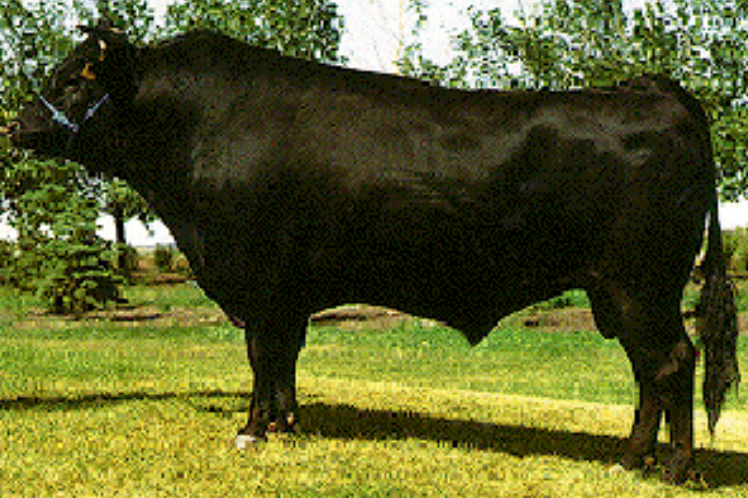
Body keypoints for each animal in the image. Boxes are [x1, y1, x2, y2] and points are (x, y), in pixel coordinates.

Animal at [4, 22, 739, 483]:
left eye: (74, 80)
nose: (18, 125)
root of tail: (646, 89)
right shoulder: (289, 290)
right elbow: (285, 360)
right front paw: (287, 425)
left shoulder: (260, 279)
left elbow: (262, 358)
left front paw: (252, 431)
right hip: (621, 292)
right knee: (650, 375)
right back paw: (632, 460)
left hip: (640, 286)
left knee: (671, 365)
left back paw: (672, 470)